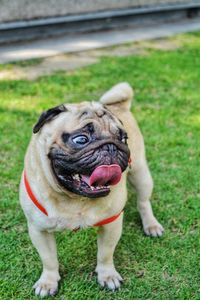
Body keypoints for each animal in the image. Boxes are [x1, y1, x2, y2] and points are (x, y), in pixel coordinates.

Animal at [19, 82, 164, 298]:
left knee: (143, 202)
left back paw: (151, 225)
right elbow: (49, 259)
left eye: (123, 138)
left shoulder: (112, 224)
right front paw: (48, 282)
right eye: (81, 139)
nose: (112, 146)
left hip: (141, 173)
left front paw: (107, 276)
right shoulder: (39, 230)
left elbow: (105, 253)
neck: (73, 197)